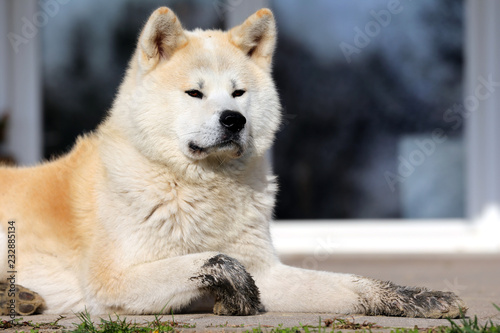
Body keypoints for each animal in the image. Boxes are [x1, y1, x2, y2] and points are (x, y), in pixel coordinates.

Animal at [0, 7, 464, 316]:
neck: (199, 189)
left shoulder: (269, 272)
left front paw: (414, 296)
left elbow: (352, 285)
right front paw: (235, 292)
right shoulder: (111, 283)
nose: (234, 119)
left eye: (238, 93)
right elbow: (216, 260)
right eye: (195, 93)